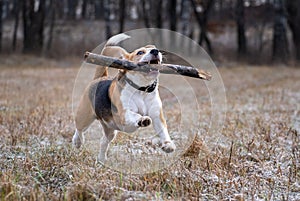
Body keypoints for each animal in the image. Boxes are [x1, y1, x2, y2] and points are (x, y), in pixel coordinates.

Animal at [72, 33, 176, 163]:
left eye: (154, 49)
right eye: (140, 52)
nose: (155, 51)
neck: (141, 90)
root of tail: (100, 78)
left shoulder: (157, 116)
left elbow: (163, 130)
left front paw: (168, 145)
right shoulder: (124, 113)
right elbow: (135, 115)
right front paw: (142, 119)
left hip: (110, 129)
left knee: (103, 141)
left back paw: (101, 160)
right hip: (84, 116)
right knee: (79, 129)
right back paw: (77, 142)